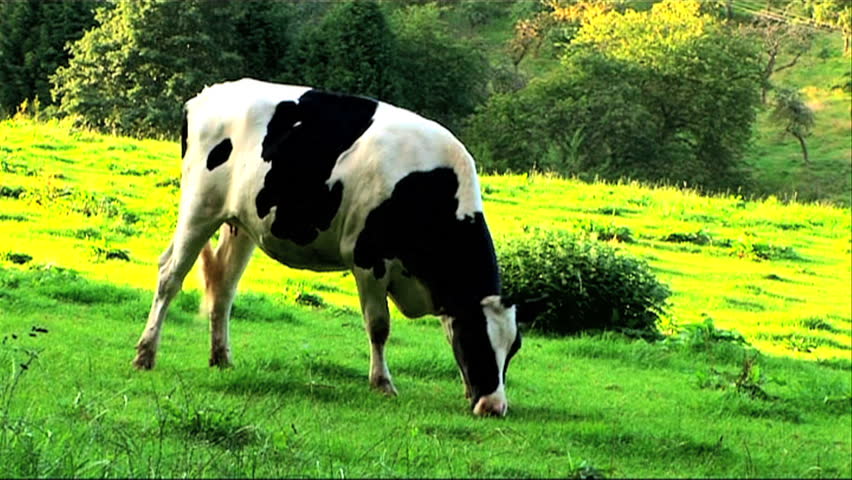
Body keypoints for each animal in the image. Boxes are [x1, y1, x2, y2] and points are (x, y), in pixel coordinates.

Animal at [131, 78, 521, 416]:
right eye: (477, 341)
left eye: (514, 348)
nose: (494, 407)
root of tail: (209, 94)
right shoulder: (367, 259)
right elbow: (379, 326)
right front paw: (382, 383)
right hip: (200, 207)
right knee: (170, 275)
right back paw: (145, 355)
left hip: (240, 221)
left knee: (224, 286)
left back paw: (222, 358)